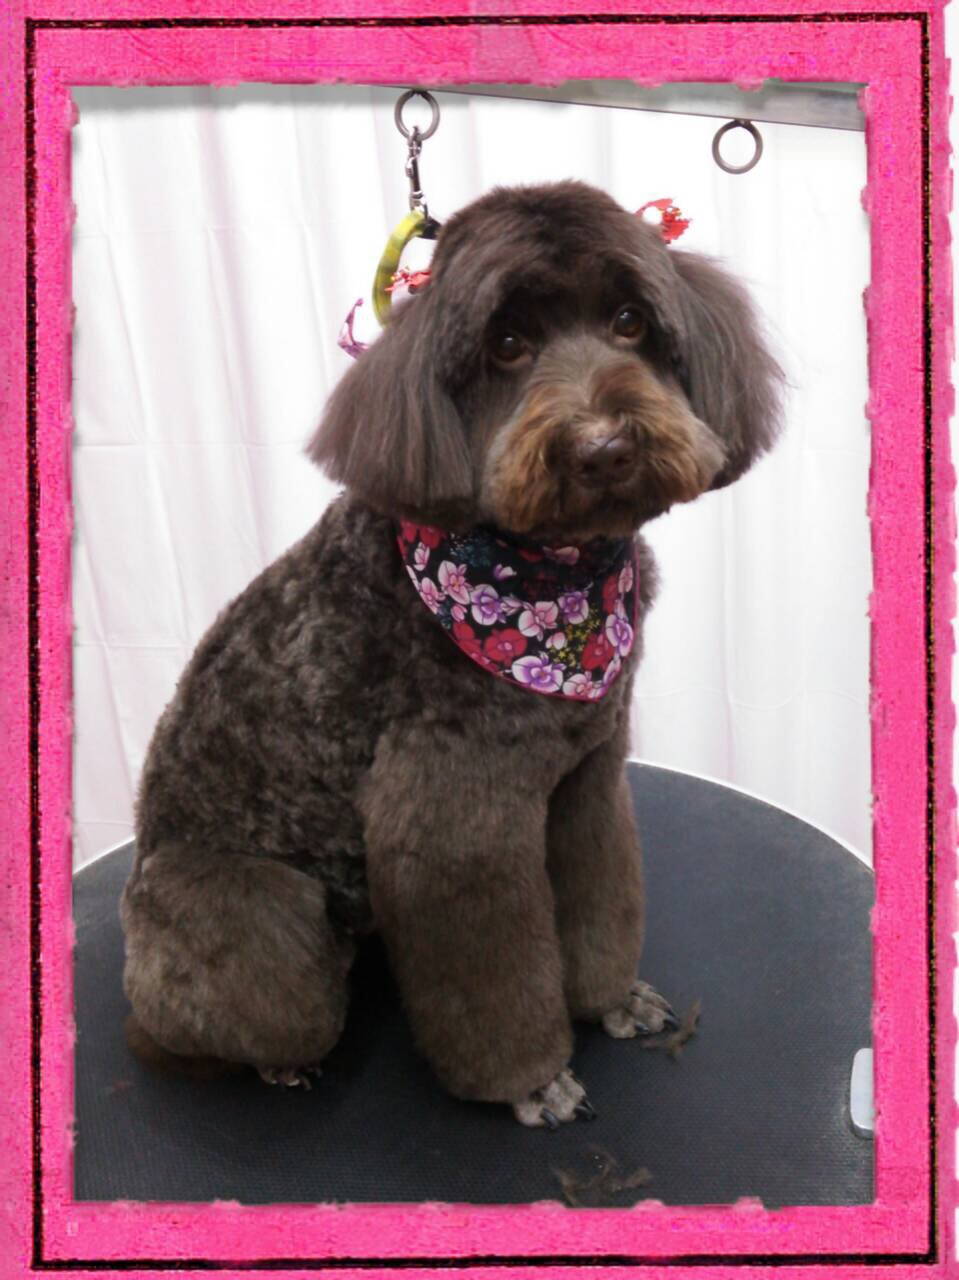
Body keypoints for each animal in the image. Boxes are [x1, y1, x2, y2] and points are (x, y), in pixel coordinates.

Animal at [121, 180, 782, 1127]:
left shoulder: (583, 779)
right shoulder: (452, 824)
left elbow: (596, 893)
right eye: (505, 344)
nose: (604, 447)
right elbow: (490, 973)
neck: (548, 586)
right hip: (251, 909)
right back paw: (270, 1064)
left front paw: (609, 1001)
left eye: (629, 321)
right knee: (213, 1018)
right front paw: (532, 1081)